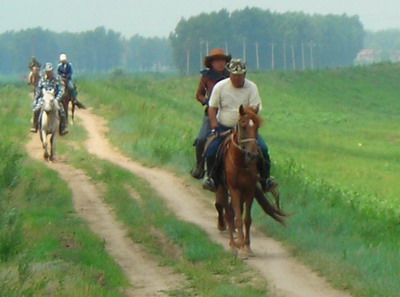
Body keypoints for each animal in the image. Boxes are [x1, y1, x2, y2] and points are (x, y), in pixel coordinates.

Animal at [214, 104, 286, 256]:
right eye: (243, 126)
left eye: (257, 126)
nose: (252, 155)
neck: (241, 163)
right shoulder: (234, 189)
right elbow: (237, 218)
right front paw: (240, 248)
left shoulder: (249, 190)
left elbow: (246, 219)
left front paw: (246, 246)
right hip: (222, 188)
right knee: (227, 213)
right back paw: (232, 244)